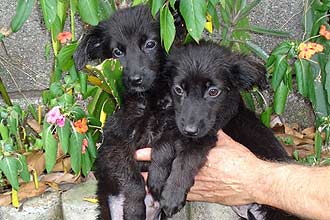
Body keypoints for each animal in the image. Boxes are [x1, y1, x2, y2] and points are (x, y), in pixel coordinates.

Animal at [73, 5, 180, 220]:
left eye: (150, 44)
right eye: (117, 52)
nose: (135, 79)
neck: (149, 98)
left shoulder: (176, 123)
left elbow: (164, 146)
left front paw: (157, 178)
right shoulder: (114, 143)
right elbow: (133, 180)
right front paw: (134, 208)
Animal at [151, 41, 300, 220]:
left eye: (213, 92)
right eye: (179, 89)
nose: (190, 131)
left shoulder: (206, 137)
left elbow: (186, 159)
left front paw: (173, 193)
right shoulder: (175, 125)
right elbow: (162, 146)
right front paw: (157, 179)